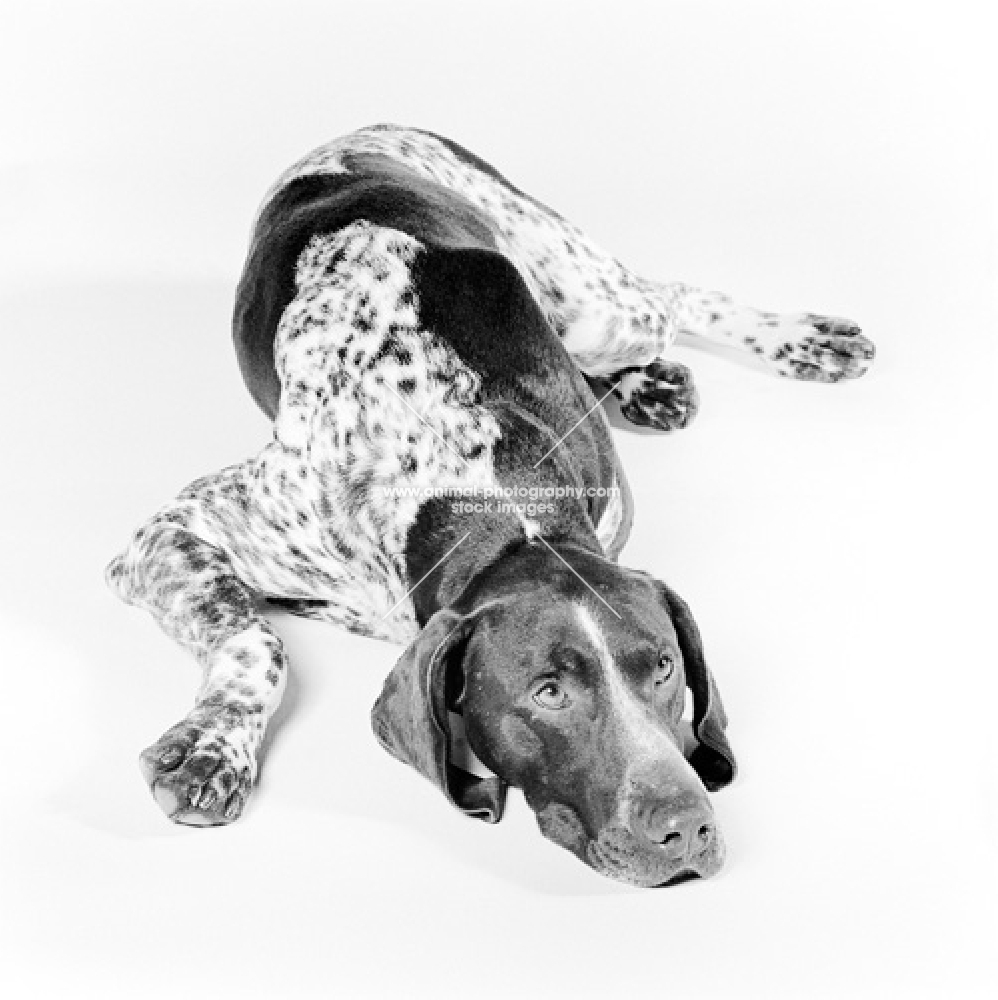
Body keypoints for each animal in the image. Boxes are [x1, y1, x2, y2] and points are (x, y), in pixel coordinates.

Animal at [107, 123, 876, 884]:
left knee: (677, 295)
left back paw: (791, 342)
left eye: (664, 668)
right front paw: (212, 747)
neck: (500, 512)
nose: (687, 830)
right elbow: (257, 640)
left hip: (601, 308)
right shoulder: (171, 533)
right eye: (547, 692)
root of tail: (362, 130)